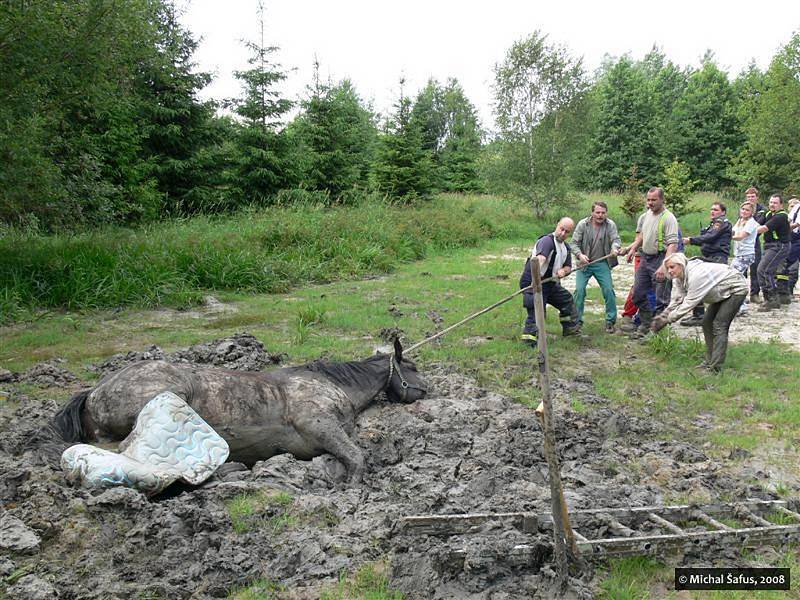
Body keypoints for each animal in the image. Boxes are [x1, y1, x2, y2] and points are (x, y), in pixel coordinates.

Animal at [50, 340, 428, 486]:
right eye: (410, 366)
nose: (427, 389)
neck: (329, 383)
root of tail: (93, 393)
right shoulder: (319, 425)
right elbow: (356, 458)